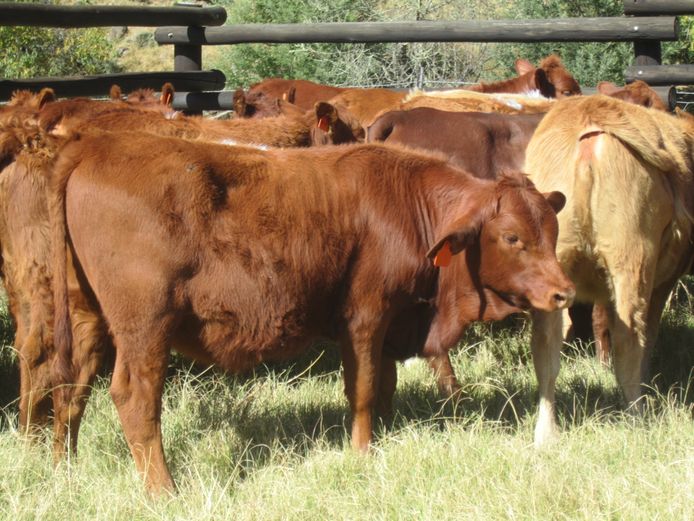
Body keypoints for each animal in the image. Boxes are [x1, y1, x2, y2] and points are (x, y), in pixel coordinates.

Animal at [47, 132, 572, 490]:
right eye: (512, 237)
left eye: (552, 230)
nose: (563, 293)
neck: (408, 205)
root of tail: (95, 147)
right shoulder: (365, 315)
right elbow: (363, 388)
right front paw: (362, 453)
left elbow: (384, 385)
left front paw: (383, 435)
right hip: (145, 329)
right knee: (135, 400)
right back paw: (164, 490)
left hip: (87, 319)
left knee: (69, 389)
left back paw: (63, 471)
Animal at [528, 95, 694, 444]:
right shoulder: (662, 283)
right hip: (631, 259)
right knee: (629, 338)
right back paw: (636, 416)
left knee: (545, 344)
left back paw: (546, 434)